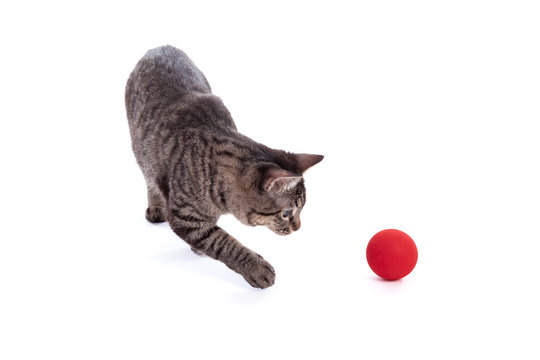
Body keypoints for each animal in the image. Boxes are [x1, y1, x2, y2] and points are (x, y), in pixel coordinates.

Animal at [124, 45, 322, 288]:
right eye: (287, 213)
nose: (298, 227)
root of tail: (161, 47)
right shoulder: (183, 215)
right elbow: (222, 242)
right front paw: (256, 268)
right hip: (139, 147)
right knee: (149, 176)